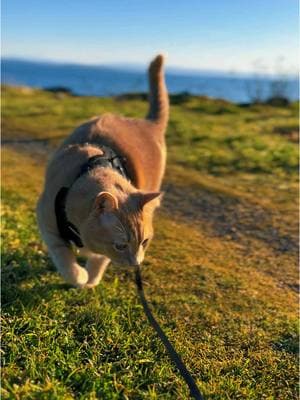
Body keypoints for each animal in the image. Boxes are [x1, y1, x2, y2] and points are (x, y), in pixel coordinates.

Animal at [37, 55, 169, 288]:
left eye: (145, 241)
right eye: (121, 245)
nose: (136, 263)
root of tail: (147, 123)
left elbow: (99, 260)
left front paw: (91, 279)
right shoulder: (47, 224)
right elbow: (65, 260)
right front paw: (80, 277)